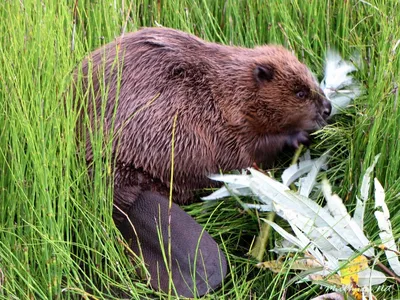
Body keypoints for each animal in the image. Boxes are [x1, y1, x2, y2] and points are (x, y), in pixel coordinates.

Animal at [78, 26, 332, 298]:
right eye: (300, 93)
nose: (328, 108)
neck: (229, 88)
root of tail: (129, 199)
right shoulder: (227, 125)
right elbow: (253, 149)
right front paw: (299, 136)